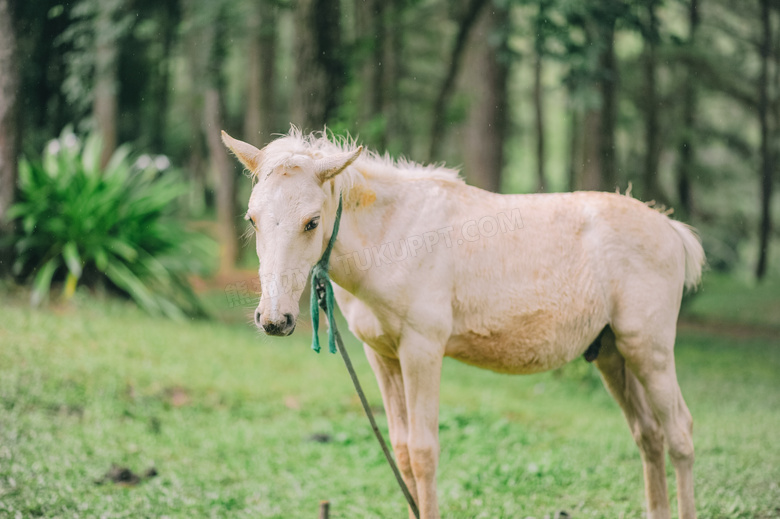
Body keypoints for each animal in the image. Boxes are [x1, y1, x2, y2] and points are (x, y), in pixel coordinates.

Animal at [222, 128, 704, 519]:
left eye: (312, 222)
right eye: (252, 219)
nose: (274, 319)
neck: (394, 236)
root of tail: (669, 228)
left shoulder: (422, 352)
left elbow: (423, 453)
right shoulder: (382, 357)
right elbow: (402, 451)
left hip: (649, 353)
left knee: (680, 434)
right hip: (612, 355)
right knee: (649, 436)